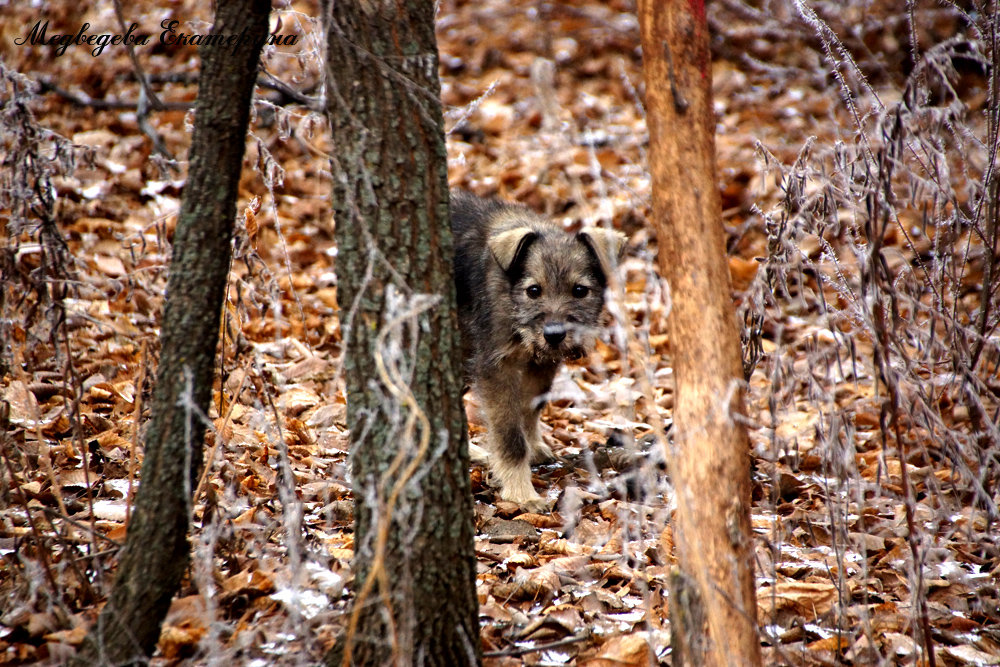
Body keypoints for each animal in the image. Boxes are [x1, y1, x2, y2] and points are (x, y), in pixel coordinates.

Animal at [452, 190, 624, 516]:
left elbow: (530, 409)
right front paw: (521, 494)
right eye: (534, 290)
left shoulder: (541, 364)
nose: (554, 335)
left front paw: (534, 447)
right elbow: (510, 437)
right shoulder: (496, 368)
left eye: (580, 290)